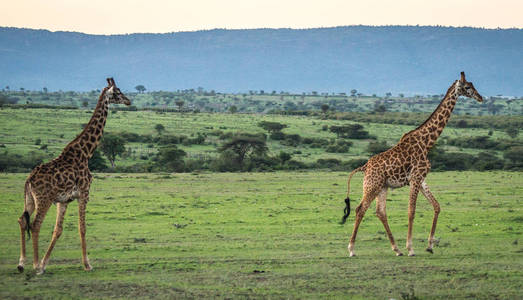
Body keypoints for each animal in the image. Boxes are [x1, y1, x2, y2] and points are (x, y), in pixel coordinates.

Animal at [16, 77, 131, 274]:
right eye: (117, 92)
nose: (128, 101)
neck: (86, 153)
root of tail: (29, 180)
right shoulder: (84, 193)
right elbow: (82, 228)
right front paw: (87, 264)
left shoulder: (63, 200)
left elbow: (58, 230)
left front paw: (46, 262)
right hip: (44, 199)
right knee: (35, 224)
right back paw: (35, 265)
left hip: (30, 199)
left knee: (23, 220)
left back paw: (22, 263)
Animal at [342, 72, 486, 255]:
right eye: (467, 87)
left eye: (473, 84)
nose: (480, 97)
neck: (427, 142)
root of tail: (365, 167)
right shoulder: (416, 177)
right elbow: (412, 211)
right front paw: (411, 248)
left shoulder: (421, 178)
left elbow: (437, 206)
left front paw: (430, 245)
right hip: (372, 185)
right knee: (361, 209)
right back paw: (352, 249)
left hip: (382, 187)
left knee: (380, 212)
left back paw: (396, 249)